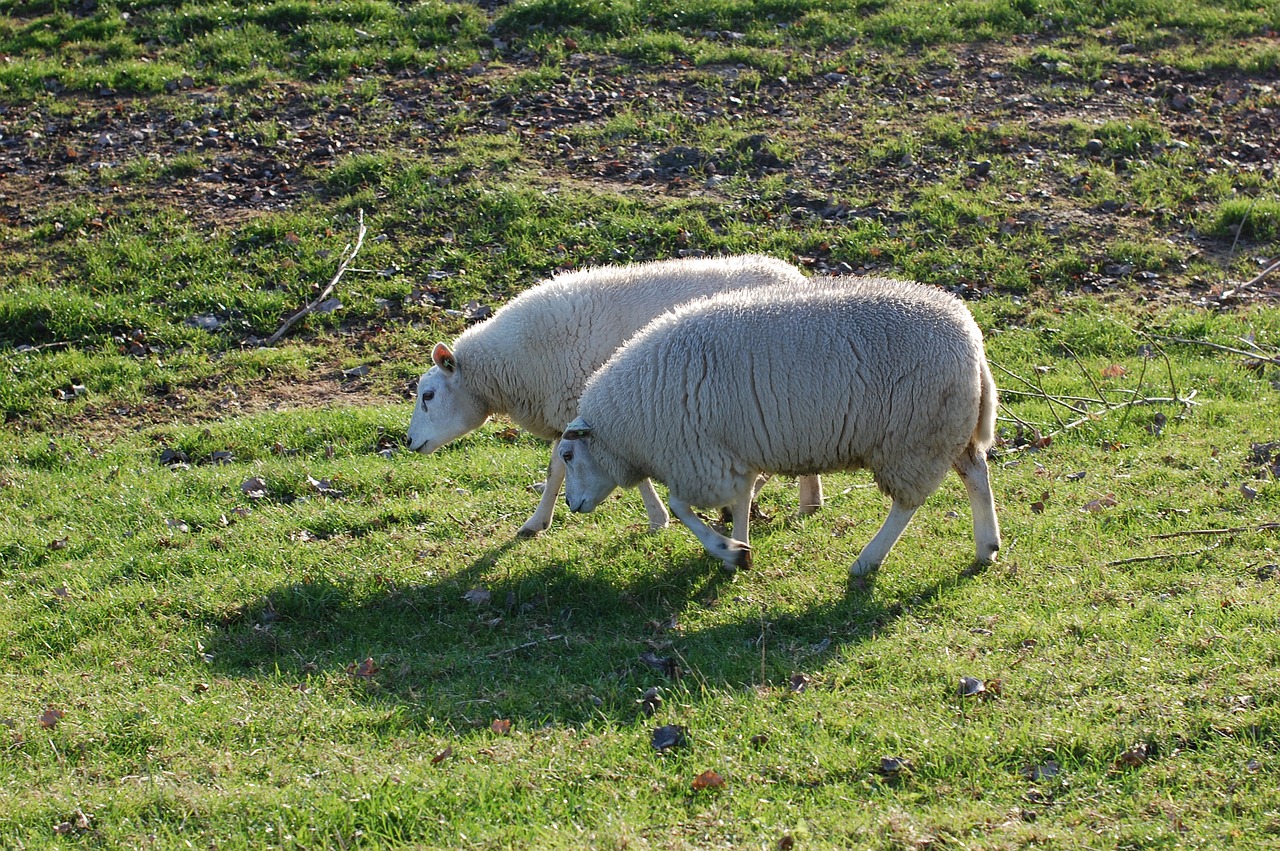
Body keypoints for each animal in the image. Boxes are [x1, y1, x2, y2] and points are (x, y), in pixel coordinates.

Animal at [409, 252, 829, 534]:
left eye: (428, 395)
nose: (409, 442)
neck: (511, 366)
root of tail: (793, 275)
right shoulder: (576, 417)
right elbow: (556, 469)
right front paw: (537, 521)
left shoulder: (595, 411)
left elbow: (573, 467)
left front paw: (658, 519)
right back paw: (809, 503)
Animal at [560, 278, 998, 578]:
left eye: (567, 454)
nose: (570, 504)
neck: (630, 424)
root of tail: (972, 338)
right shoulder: (732, 456)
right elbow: (739, 501)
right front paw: (738, 550)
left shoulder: (701, 459)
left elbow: (681, 507)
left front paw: (727, 549)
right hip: (948, 429)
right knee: (976, 474)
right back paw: (987, 547)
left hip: (914, 437)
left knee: (907, 503)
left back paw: (867, 561)